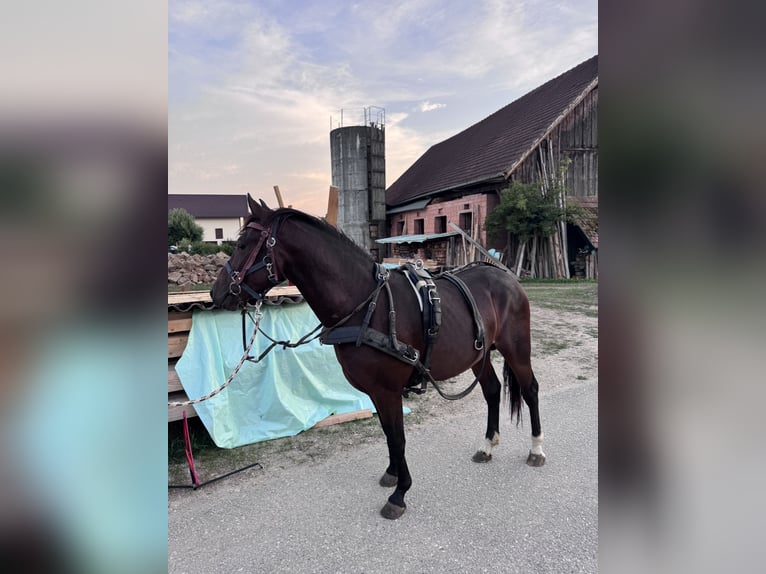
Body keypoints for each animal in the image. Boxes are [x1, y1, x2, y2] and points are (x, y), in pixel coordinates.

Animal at [210, 195, 545, 520]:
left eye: (242, 245)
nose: (217, 293)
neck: (366, 305)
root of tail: (507, 277)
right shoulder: (375, 391)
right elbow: (387, 433)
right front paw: (393, 473)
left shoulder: (388, 390)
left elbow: (398, 437)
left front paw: (399, 494)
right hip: (479, 356)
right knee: (492, 391)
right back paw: (487, 446)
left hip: (516, 348)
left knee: (530, 390)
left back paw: (537, 449)